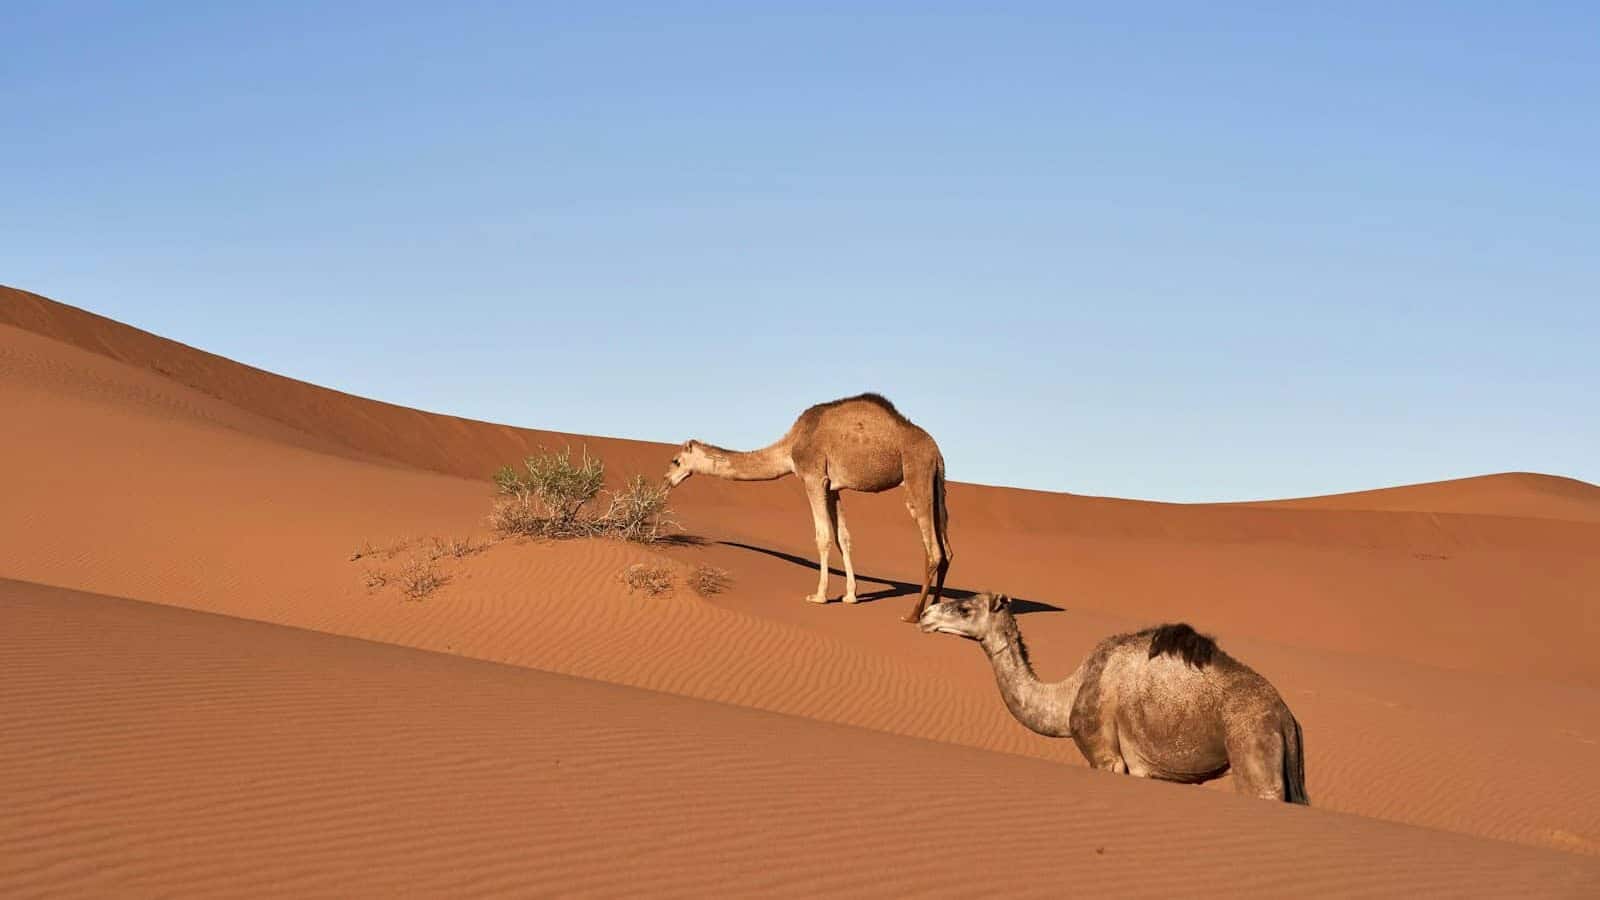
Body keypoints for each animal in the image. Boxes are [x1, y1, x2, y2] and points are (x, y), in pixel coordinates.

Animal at [663, 393, 951, 623]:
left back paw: (913, 615)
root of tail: (935, 451)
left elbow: (822, 537)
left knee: (934, 550)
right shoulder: (832, 487)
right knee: (947, 550)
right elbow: (843, 538)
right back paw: (938, 612)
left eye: (676, 461)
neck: (792, 445)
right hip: (937, 481)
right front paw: (850, 595)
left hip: (916, 474)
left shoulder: (813, 476)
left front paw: (819, 595)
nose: (666, 480)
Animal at [919, 593, 1308, 803]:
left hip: (1253, 748)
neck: (1068, 693)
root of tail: (1285, 716)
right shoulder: (1143, 769)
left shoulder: (1105, 754)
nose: (925, 614)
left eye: (965, 609)